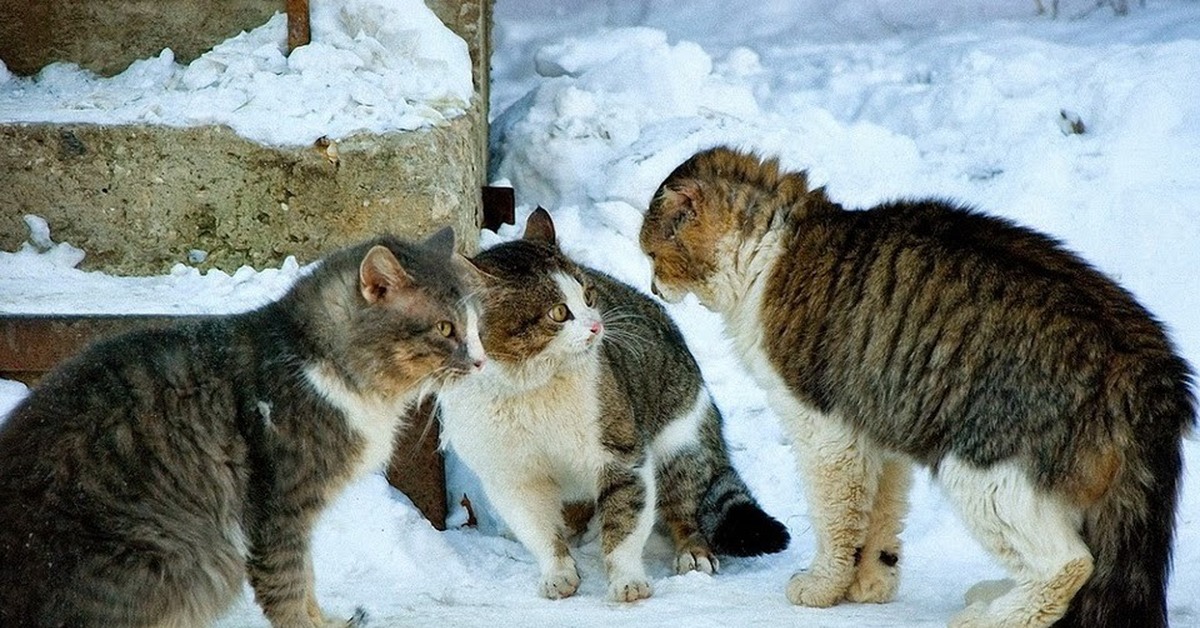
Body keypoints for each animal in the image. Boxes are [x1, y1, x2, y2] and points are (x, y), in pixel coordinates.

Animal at [1, 230, 487, 628]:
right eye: (445, 328)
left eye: (474, 327)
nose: (482, 362)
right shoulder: (280, 507)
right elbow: (288, 585)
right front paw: (309, 625)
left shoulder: (295, 517)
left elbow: (307, 580)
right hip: (187, 557)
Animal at [436, 208, 792, 602]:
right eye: (559, 312)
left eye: (589, 295)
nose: (596, 326)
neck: (529, 388)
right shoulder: (512, 474)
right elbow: (541, 533)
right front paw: (558, 572)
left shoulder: (622, 455)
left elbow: (624, 524)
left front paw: (627, 580)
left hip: (680, 443)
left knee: (686, 507)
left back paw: (693, 551)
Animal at [638, 148, 1190, 628]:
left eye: (651, 255)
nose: (651, 287)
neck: (770, 251)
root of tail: (1148, 362)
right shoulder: (878, 431)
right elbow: (878, 523)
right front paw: (868, 586)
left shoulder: (825, 432)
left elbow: (837, 521)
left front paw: (822, 587)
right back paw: (997, 596)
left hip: (982, 470)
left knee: (1070, 564)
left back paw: (990, 618)